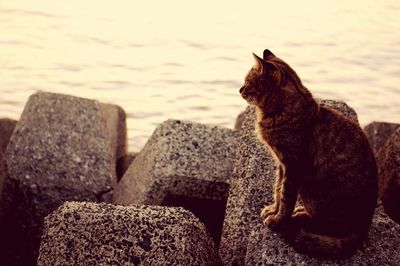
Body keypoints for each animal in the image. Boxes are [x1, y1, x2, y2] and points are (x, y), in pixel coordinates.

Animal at [241, 49, 378, 258]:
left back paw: (300, 216)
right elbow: (278, 190)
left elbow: (286, 197)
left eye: (248, 81)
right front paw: (273, 210)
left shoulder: (292, 165)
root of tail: (363, 228)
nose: (240, 89)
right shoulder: (281, 164)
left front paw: (278, 219)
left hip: (313, 192)